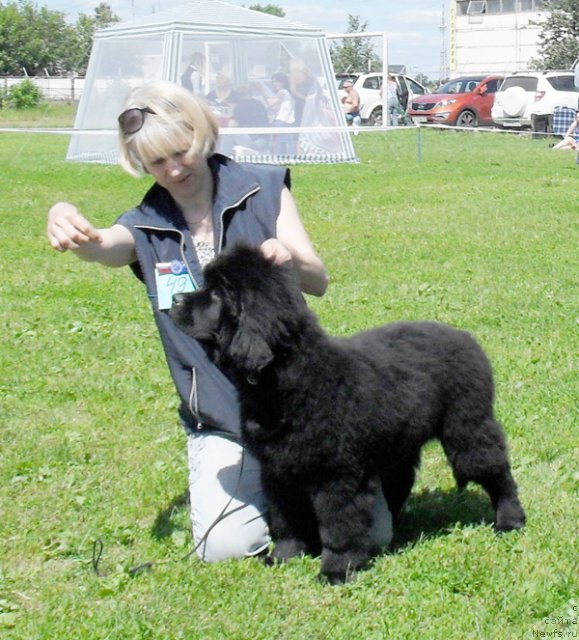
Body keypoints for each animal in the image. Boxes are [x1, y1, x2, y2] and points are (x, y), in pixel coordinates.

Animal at [170, 242, 528, 584]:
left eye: (217, 293)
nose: (175, 299)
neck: (288, 385)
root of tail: (467, 338)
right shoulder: (277, 471)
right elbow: (286, 518)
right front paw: (284, 556)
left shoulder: (336, 475)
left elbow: (337, 526)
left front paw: (335, 570)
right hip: (398, 448)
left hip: (467, 429)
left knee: (497, 473)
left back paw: (510, 520)